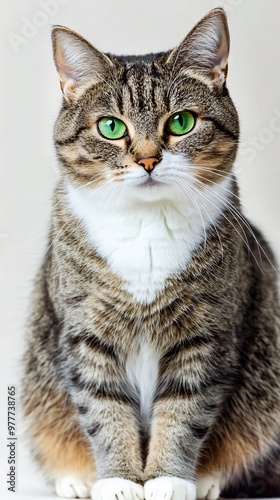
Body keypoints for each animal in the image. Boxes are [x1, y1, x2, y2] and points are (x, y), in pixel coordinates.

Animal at [21, 7, 280, 500]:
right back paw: (75, 479)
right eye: (111, 127)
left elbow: (182, 412)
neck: (145, 229)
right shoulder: (85, 334)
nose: (147, 160)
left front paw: (168, 479)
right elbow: (105, 411)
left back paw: (207, 480)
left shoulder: (205, 335)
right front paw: (120, 480)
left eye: (181, 123)